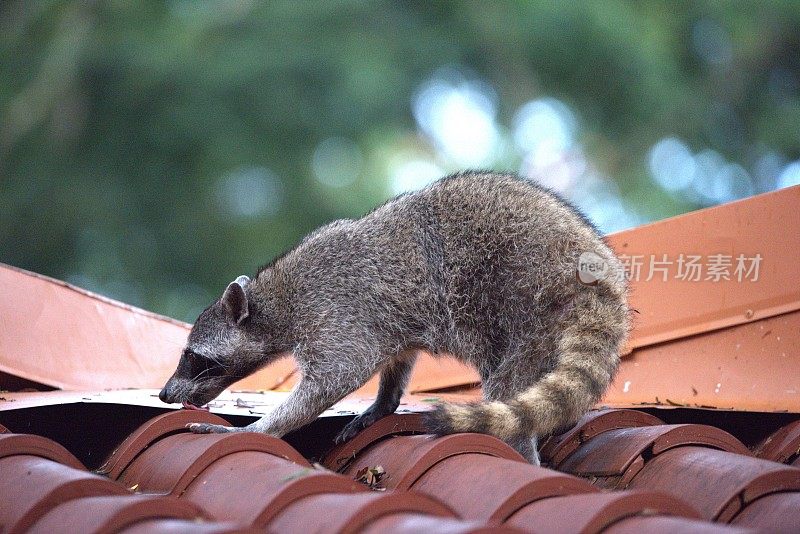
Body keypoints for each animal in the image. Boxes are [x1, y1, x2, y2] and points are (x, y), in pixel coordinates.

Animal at [158, 173, 632, 464]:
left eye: (192, 357)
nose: (165, 394)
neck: (272, 300)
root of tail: (599, 281)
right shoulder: (386, 323)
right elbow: (397, 359)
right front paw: (384, 402)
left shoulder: (335, 311)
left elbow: (333, 379)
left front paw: (259, 428)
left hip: (528, 309)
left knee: (509, 386)